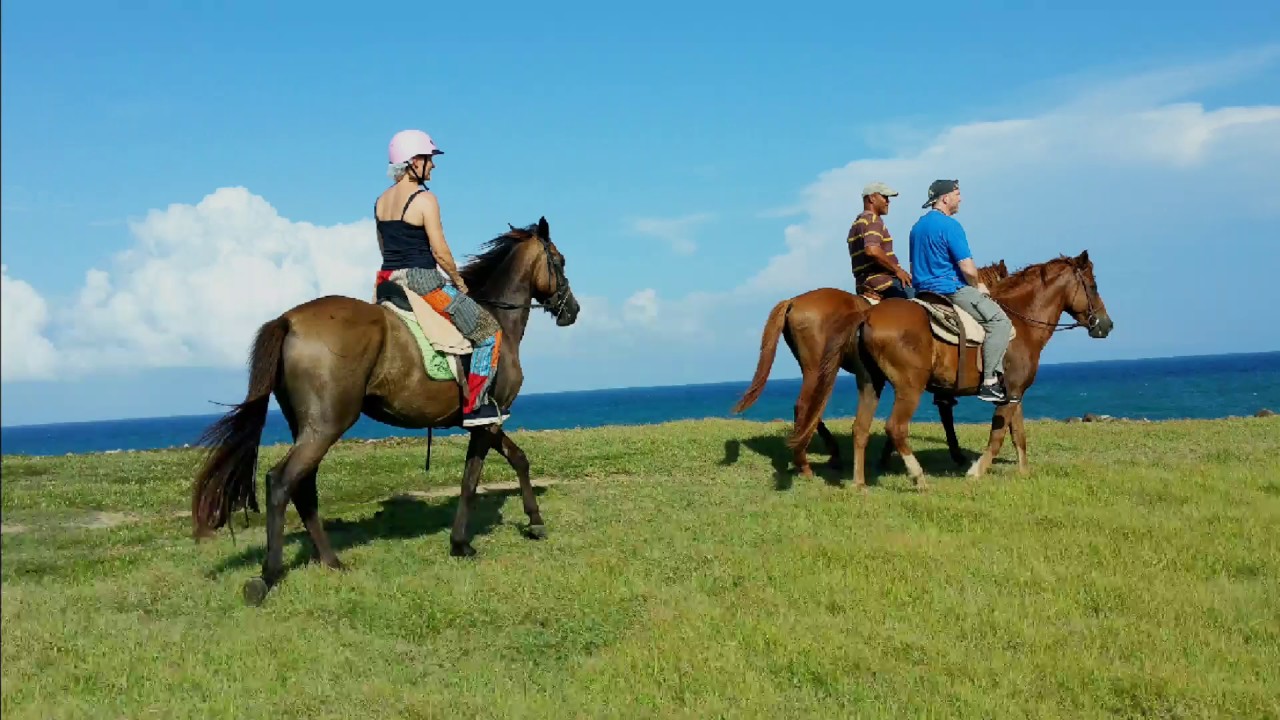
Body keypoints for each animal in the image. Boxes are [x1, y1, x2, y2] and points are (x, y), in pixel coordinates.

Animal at [190, 217, 581, 606]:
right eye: (560, 261)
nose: (572, 310)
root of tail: (289, 321)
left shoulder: (485, 421)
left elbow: (517, 459)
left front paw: (533, 521)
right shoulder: (488, 419)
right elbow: (472, 479)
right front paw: (463, 543)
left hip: (308, 426)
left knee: (304, 486)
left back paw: (331, 560)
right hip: (327, 424)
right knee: (281, 481)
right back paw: (268, 577)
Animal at [731, 260, 1010, 477]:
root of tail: (794, 301)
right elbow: (943, 414)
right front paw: (956, 455)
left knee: (811, 408)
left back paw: (826, 455)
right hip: (815, 368)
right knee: (804, 406)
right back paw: (807, 462)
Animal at [833, 250, 1113, 490]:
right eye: (1094, 286)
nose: (1107, 324)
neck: (1021, 322)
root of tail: (868, 316)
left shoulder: (1015, 393)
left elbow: (1018, 434)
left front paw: (1024, 472)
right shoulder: (1008, 394)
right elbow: (997, 436)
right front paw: (977, 471)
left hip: (870, 384)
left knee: (860, 428)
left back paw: (859, 483)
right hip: (909, 388)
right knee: (896, 428)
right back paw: (919, 477)